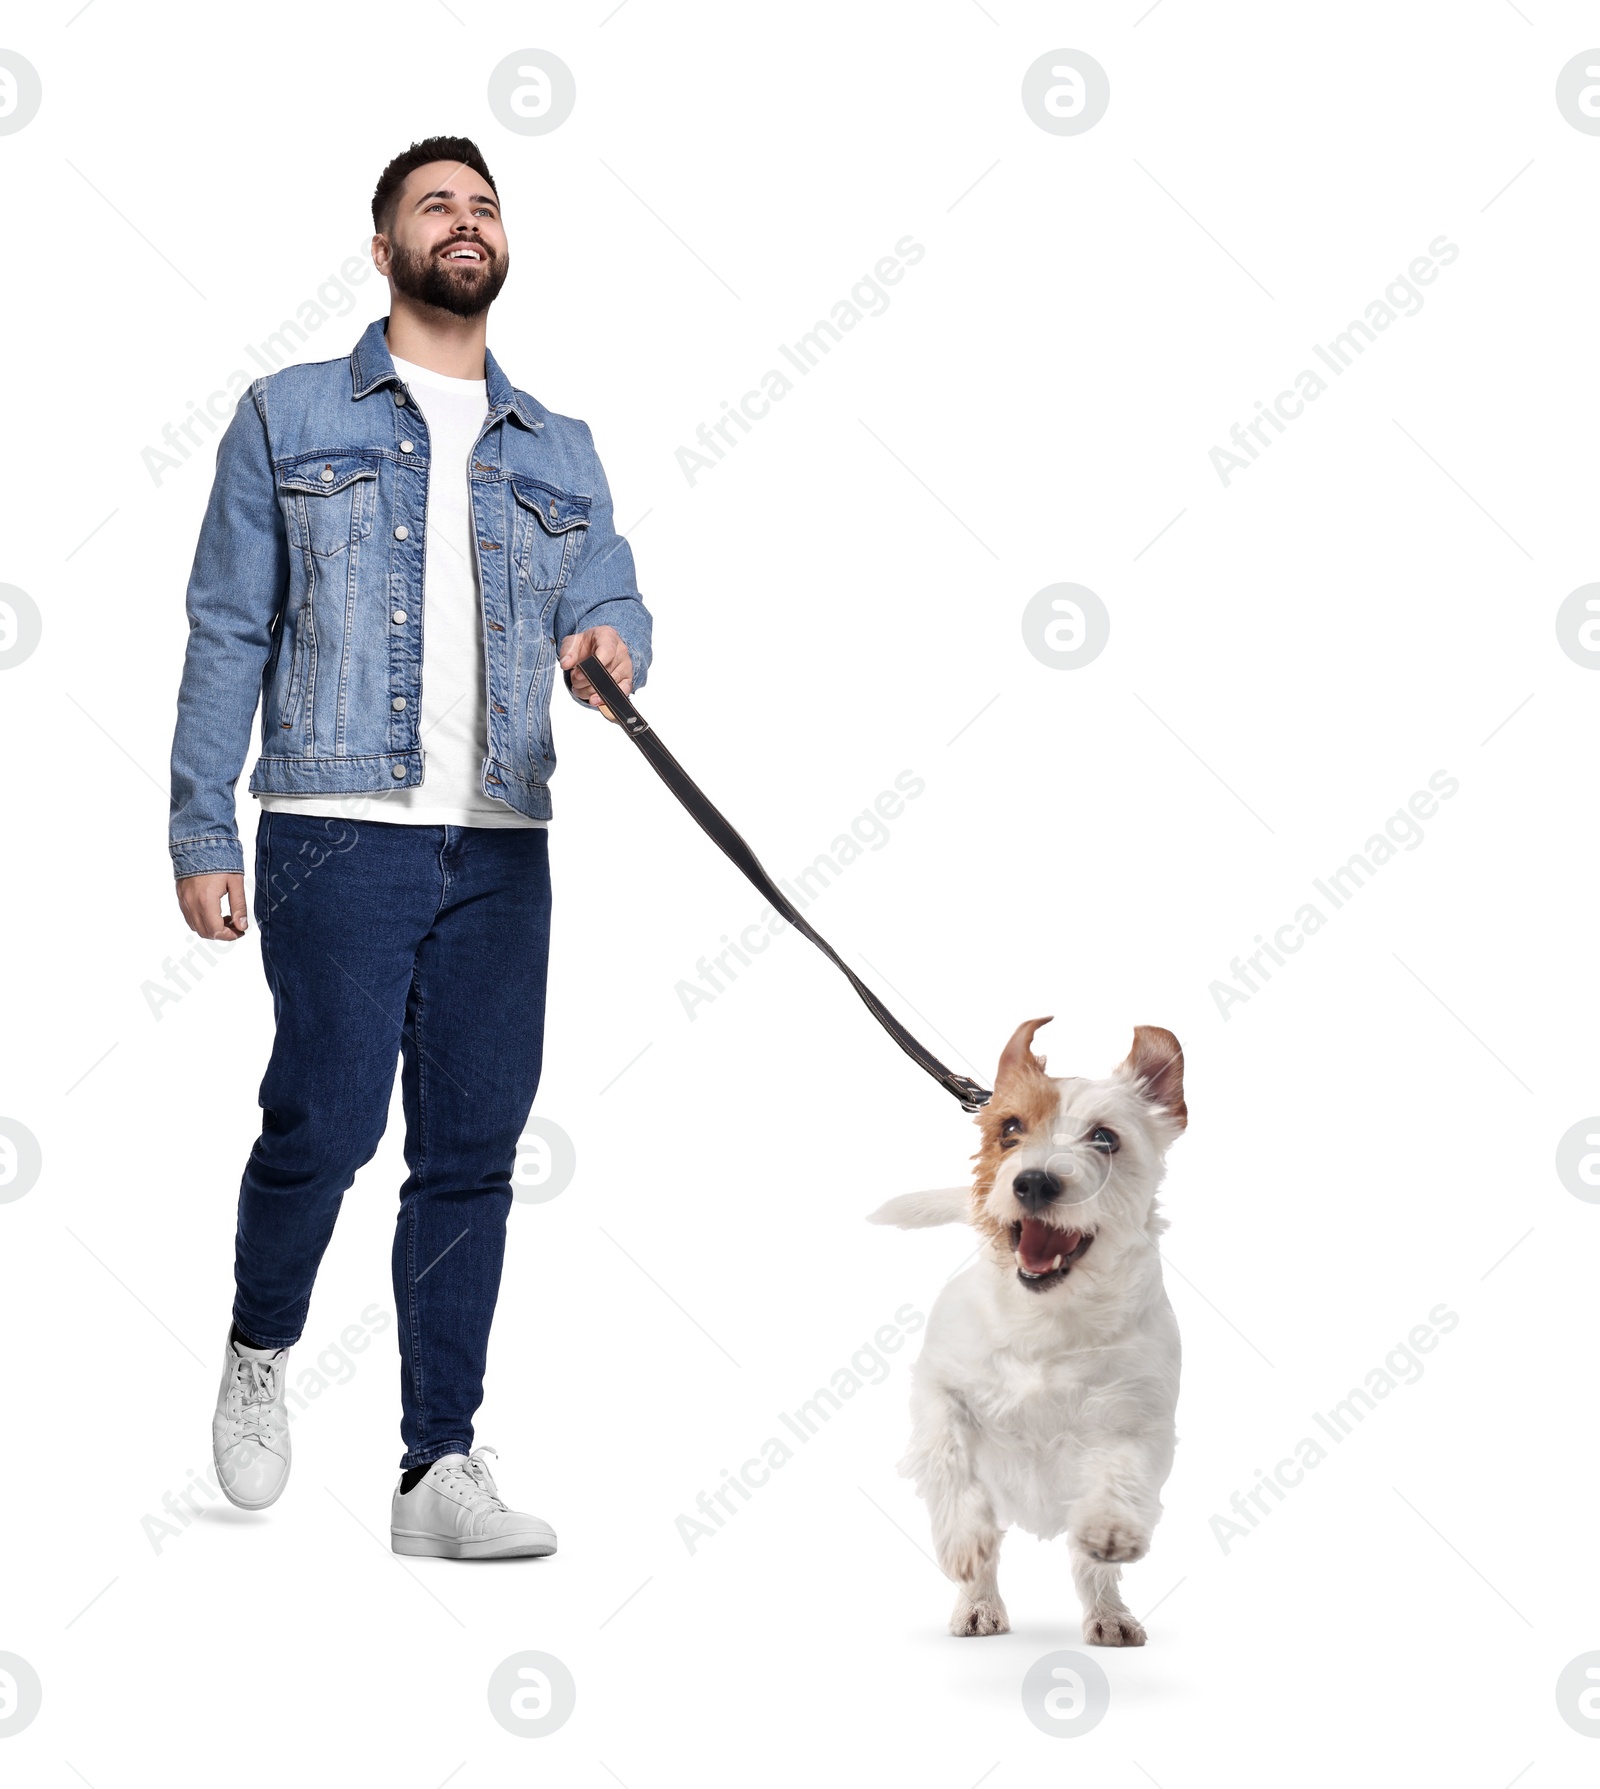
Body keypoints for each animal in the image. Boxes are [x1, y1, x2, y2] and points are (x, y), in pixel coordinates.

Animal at [866, 1016, 1188, 1638]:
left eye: (1105, 1138)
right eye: (1010, 1128)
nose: (1035, 1182)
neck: (1048, 1320)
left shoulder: (1140, 1420)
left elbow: (1122, 1475)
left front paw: (1112, 1530)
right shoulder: (938, 1390)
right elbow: (950, 1461)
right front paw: (964, 1539)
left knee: (1090, 1569)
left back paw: (1107, 1614)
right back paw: (978, 1604)